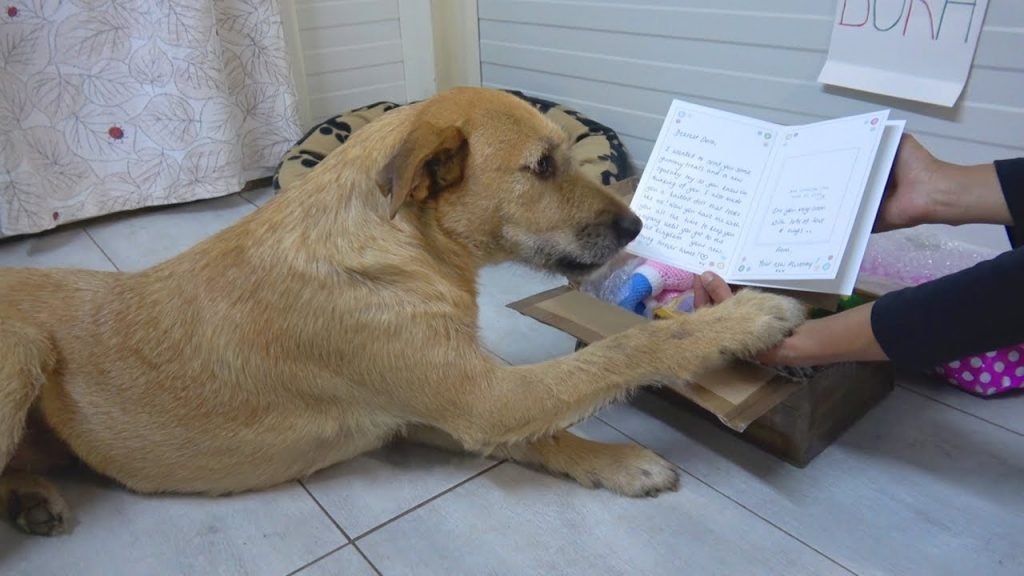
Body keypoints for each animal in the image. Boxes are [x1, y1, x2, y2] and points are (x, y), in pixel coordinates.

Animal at [0, 88, 802, 532]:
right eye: (543, 167)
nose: (637, 227)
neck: (401, 244)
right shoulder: (484, 397)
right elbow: (622, 352)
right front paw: (742, 320)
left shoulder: (442, 408)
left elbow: (546, 435)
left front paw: (616, 463)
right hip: (20, 358)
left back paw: (31, 499)